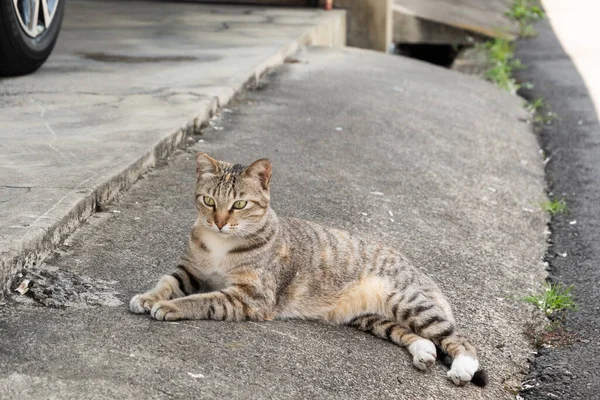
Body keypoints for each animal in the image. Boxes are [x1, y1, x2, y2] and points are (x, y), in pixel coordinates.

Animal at [130, 153, 488, 388]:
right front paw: (148, 297)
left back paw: (463, 368)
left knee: (460, 340)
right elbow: (167, 281)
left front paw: (169, 307)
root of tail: (422, 272)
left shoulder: (251, 297)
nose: (218, 222)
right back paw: (424, 352)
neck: (221, 246)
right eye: (208, 200)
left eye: (239, 205)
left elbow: (201, 300)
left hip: (409, 303)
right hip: (373, 318)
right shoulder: (190, 270)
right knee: (417, 337)